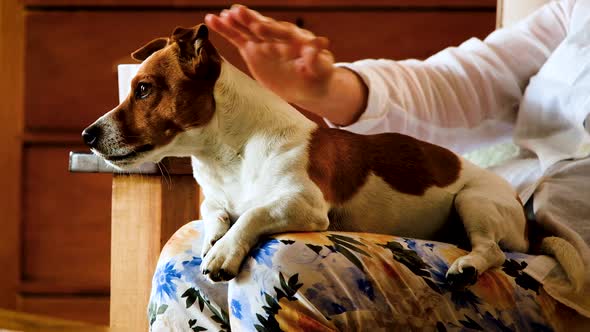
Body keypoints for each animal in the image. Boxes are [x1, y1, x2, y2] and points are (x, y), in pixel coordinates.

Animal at [84, 24, 588, 290]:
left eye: (143, 89)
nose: (88, 134)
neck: (230, 153)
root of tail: (525, 221)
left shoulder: (302, 203)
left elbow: (251, 216)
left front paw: (225, 250)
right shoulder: (215, 198)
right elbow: (217, 214)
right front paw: (215, 236)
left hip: (475, 202)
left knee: (492, 250)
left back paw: (466, 266)